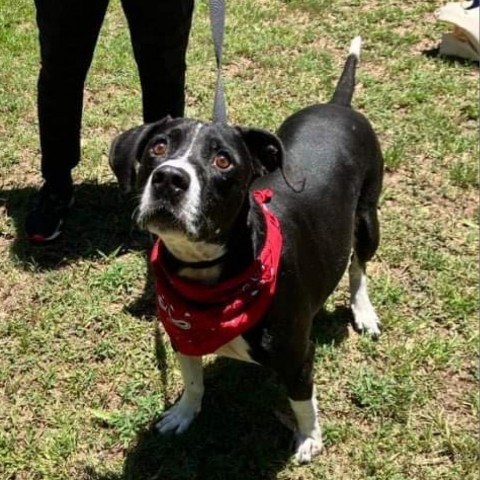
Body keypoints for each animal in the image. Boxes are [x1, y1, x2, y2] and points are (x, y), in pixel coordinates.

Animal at [109, 35, 382, 464]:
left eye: (223, 160)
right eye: (158, 147)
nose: (169, 178)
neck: (208, 275)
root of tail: (338, 106)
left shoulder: (297, 355)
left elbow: (302, 400)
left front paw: (309, 437)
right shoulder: (182, 336)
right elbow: (193, 380)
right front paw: (184, 413)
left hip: (368, 219)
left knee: (358, 266)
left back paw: (363, 310)